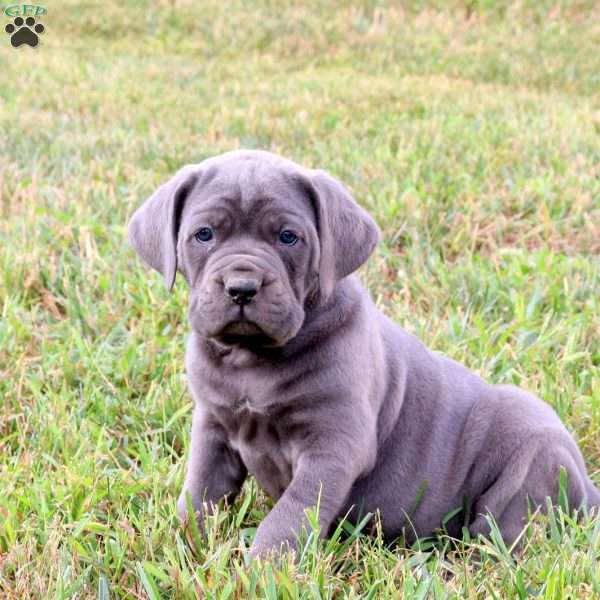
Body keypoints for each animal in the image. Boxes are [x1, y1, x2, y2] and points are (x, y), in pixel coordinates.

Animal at [127, 150, 600, 556]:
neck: (252, 359)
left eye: (288, 237)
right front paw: (183, 543)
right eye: (203, 235)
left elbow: (293, 511)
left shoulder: (334, 445)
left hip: (527, 466)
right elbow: (201, 491)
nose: (242, 287)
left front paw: (266, 565)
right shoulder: (213, 426)